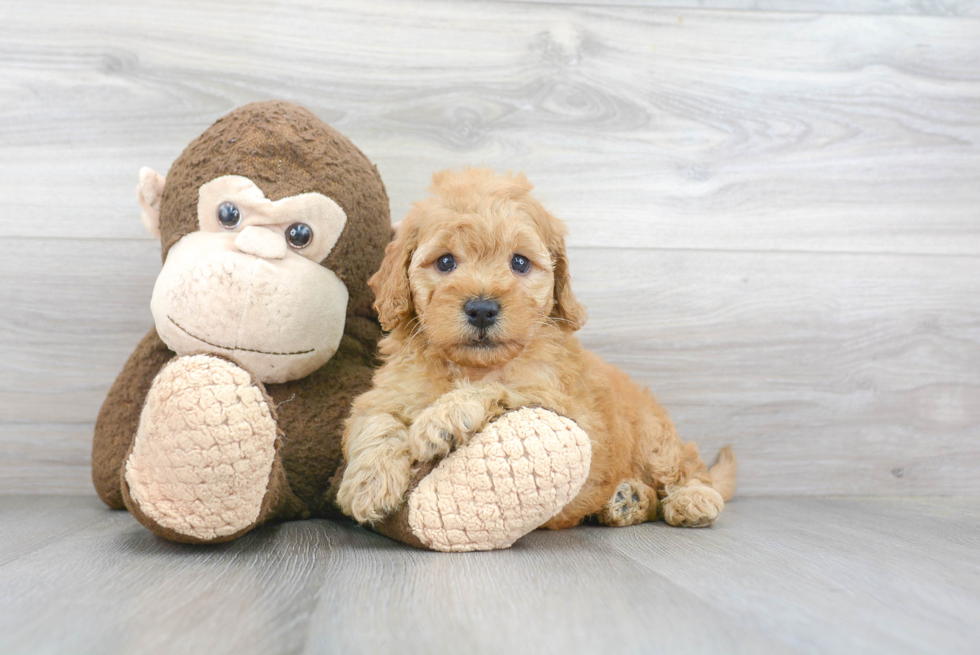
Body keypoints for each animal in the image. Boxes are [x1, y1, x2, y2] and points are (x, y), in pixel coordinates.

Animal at [336, 169, 736, 532]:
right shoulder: (385, 394)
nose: (482, 309)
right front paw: (368, 484)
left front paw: (443, 417)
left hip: (654, 438)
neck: (473, 365)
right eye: (446, 261)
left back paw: (692, 498)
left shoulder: (563, 404)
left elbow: (503, 388)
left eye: (520, 262)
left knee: (684, 468)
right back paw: (628, 500)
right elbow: (376, 422)